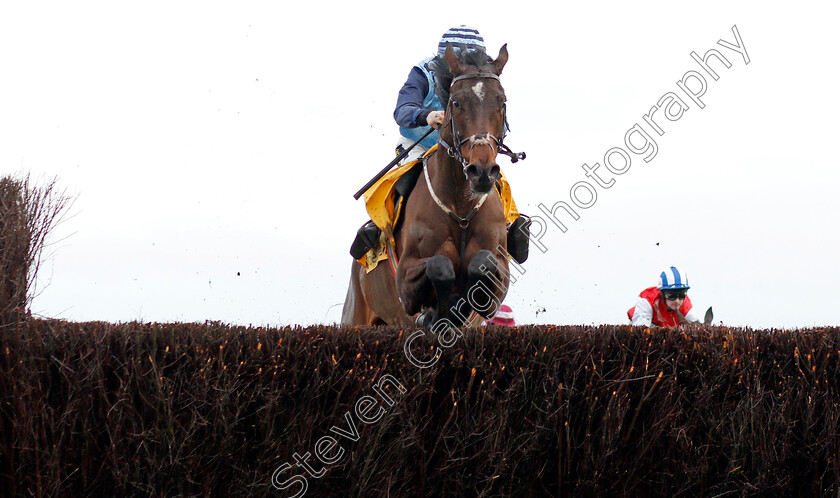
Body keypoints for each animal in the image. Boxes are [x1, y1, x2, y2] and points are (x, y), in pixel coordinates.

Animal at [342, 43, 516, 330]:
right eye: (456, 102)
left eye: (502, 101)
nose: (481, 171)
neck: (460, 207)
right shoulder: (405, 278)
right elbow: (439, 265)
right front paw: (436, 314)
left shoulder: (498, 277)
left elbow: (483, 264)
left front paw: (459, 306)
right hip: (355, 314)